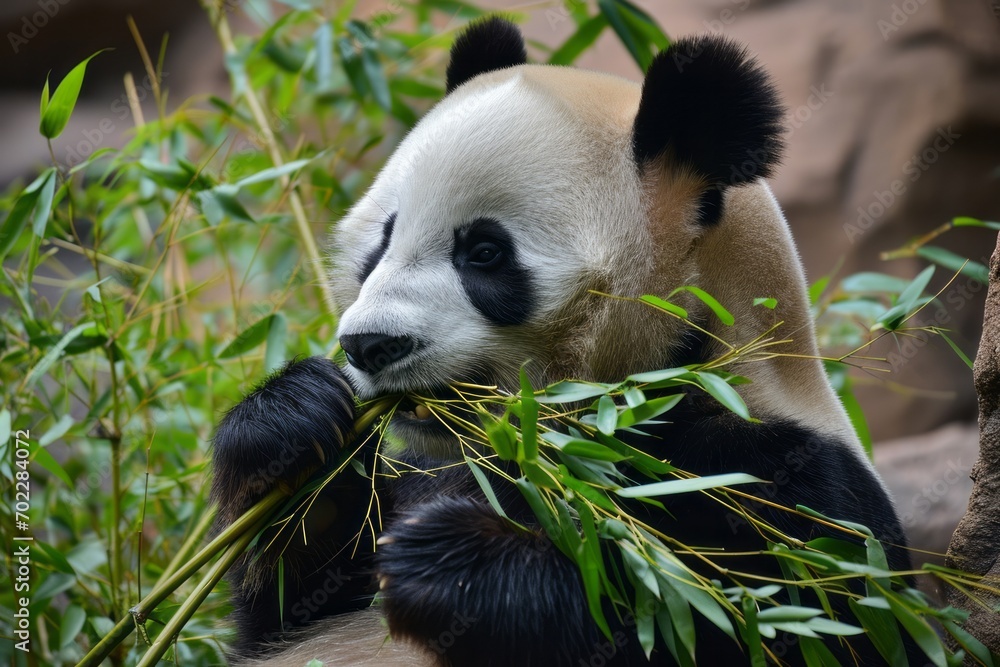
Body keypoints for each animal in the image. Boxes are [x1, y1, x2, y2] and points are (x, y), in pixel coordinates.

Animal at [211, 17, 920, 667]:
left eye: (485, 252)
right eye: (380, 243)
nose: (369, 345)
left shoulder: (784, 483)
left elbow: (763, 620)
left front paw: (452, 563)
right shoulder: (435, 473)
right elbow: (286, 611)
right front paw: (291, 422)